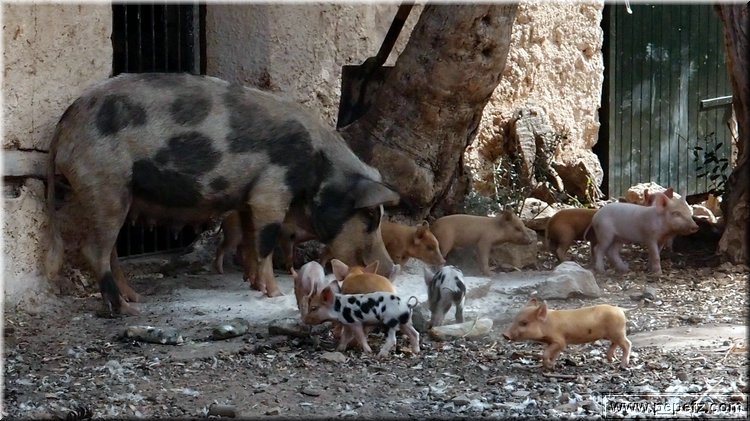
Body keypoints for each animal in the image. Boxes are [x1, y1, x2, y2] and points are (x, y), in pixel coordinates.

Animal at [45, 73, 399, 316]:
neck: (319, 170)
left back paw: (135, 297)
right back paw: (127, 311)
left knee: (111, 250)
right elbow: (266, 241)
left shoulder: (248, 199)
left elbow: (251, 241)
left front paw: (254, 284)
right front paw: (276, 294)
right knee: (94, 250)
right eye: (370, 217)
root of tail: (64, 127)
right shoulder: (271, 191)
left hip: (114, 195)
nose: (392, 266)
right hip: (105, 182)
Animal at [502, 298, 631, 370]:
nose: (505, 334)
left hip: (618, 332)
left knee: (627, 344)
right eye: (514, 319)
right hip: (612, 334)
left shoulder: (559, 340)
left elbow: (546, 353)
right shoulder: (554, 343)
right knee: (615, 343)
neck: (547, 324)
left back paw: (623, 365)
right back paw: (610, 359)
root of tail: (620, 309)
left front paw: (549, 366)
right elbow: (554, 354)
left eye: (524, 323)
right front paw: (553, 366)